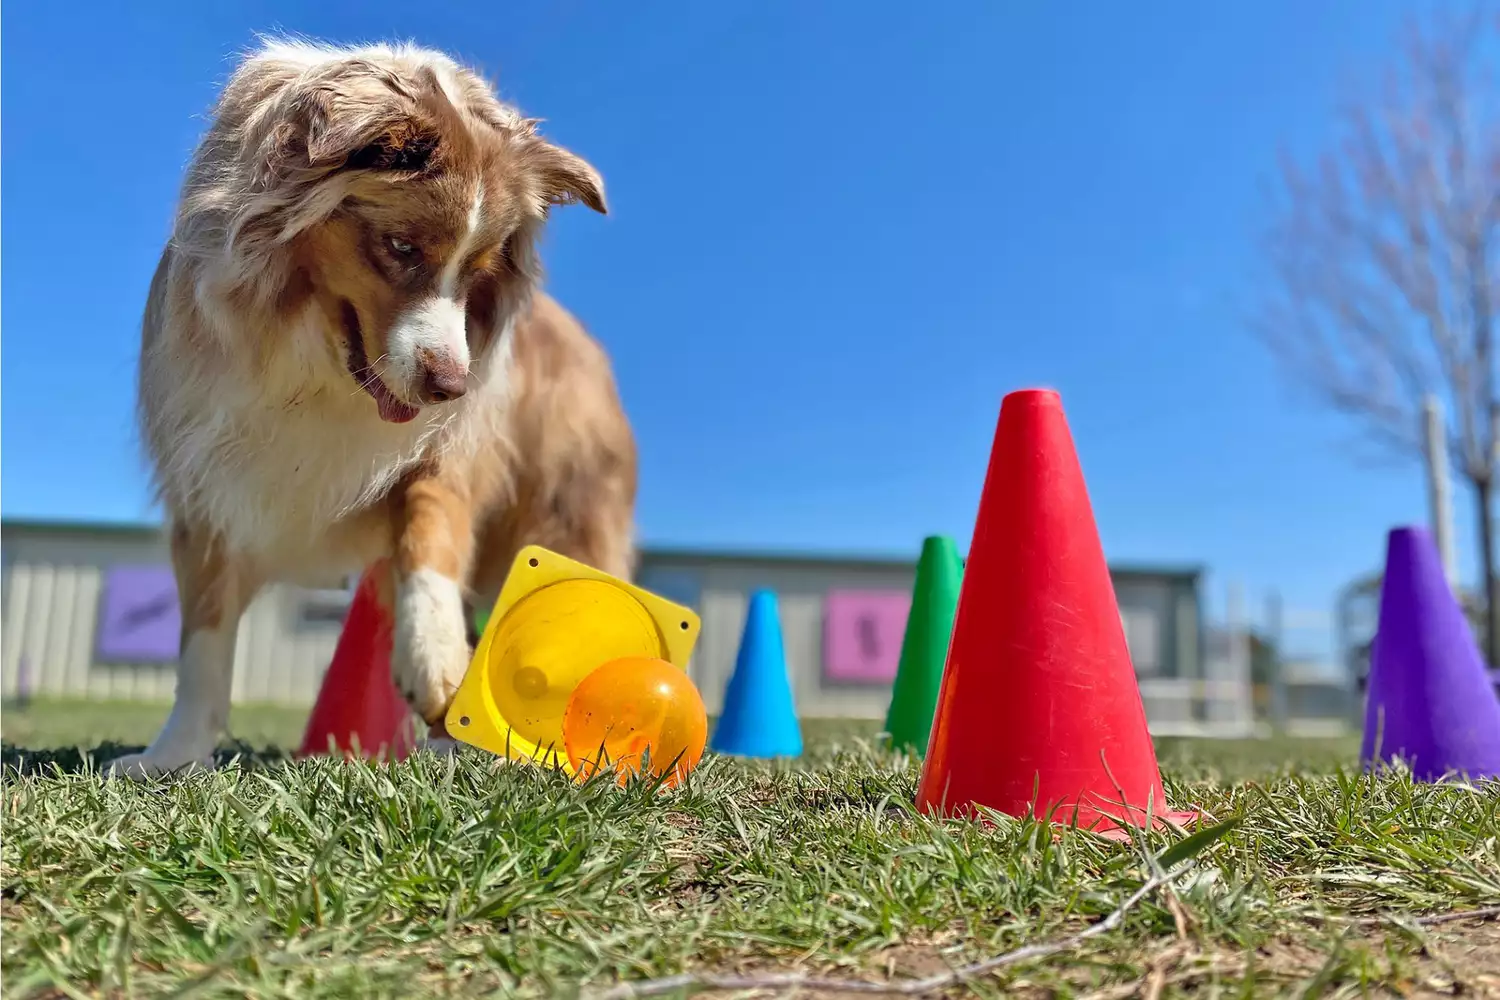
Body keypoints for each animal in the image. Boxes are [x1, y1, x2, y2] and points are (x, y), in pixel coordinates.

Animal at [108, 41, 636, 779]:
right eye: (402, 247)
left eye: (478, 272)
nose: (452, 386)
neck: (313, 366)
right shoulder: (207, 471)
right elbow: (203, 639)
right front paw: (171, 756)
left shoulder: (444, 450)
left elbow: (430, 525)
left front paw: (436, 658)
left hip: (568, 511)